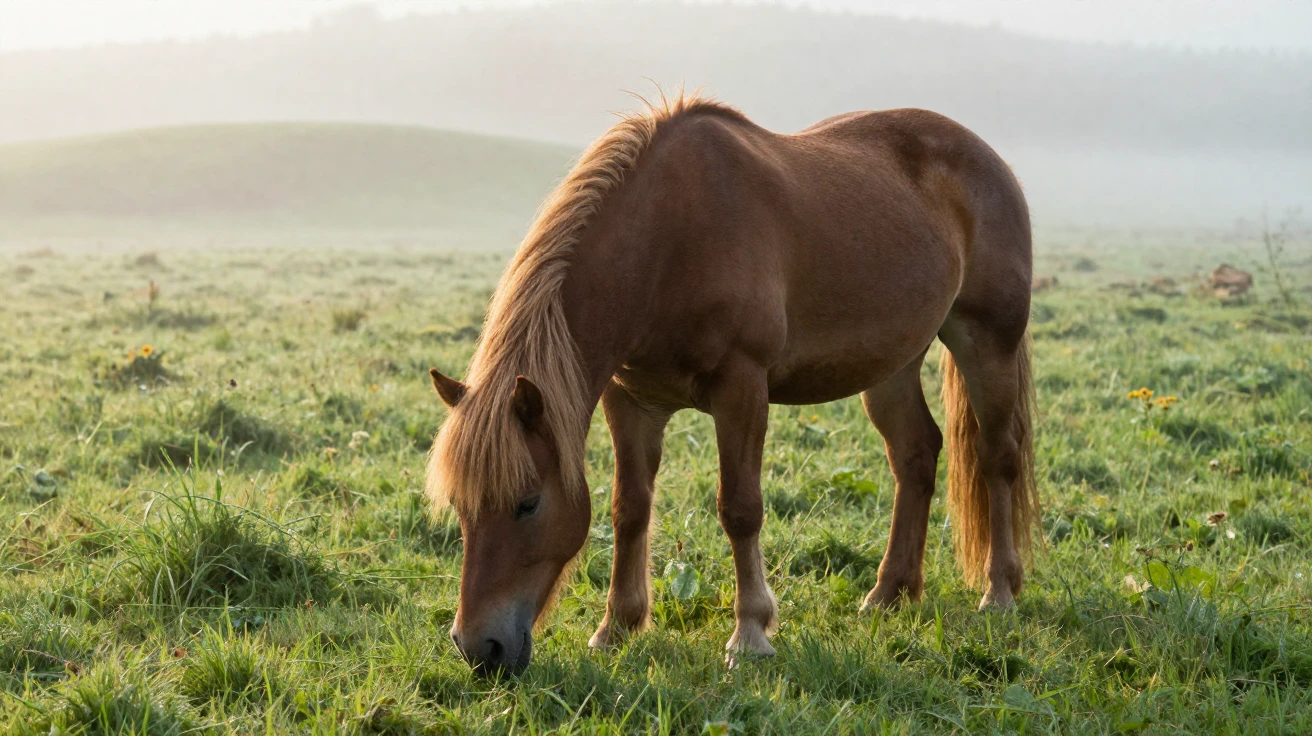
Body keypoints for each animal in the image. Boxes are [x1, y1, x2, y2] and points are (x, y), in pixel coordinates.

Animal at [427, 93, 1039, 675]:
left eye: (528, 503)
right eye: (459, 506)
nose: (478, 648)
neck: (667, 242)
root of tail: (991, 161)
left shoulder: (741, 389)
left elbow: (740, 508)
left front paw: (750, 635)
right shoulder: (630, 401)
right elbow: (630, 507)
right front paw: (616, 627)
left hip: (987, 343)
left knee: (997, 457)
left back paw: (1000, 592)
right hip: (892, 366)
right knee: (916, 455)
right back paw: (889, 593)